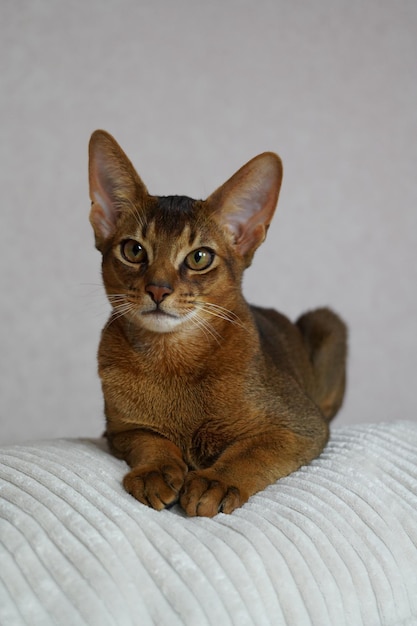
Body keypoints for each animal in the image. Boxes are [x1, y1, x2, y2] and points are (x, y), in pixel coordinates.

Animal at [89, 129, 346, 516]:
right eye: (134, 251)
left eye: (199, 257)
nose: (158, 289)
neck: (172, 363)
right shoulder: (119, 431)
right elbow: (151, 440)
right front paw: (156, 471)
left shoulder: (301, 425)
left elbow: (252, 451)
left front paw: (216, 481)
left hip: (326, 322)